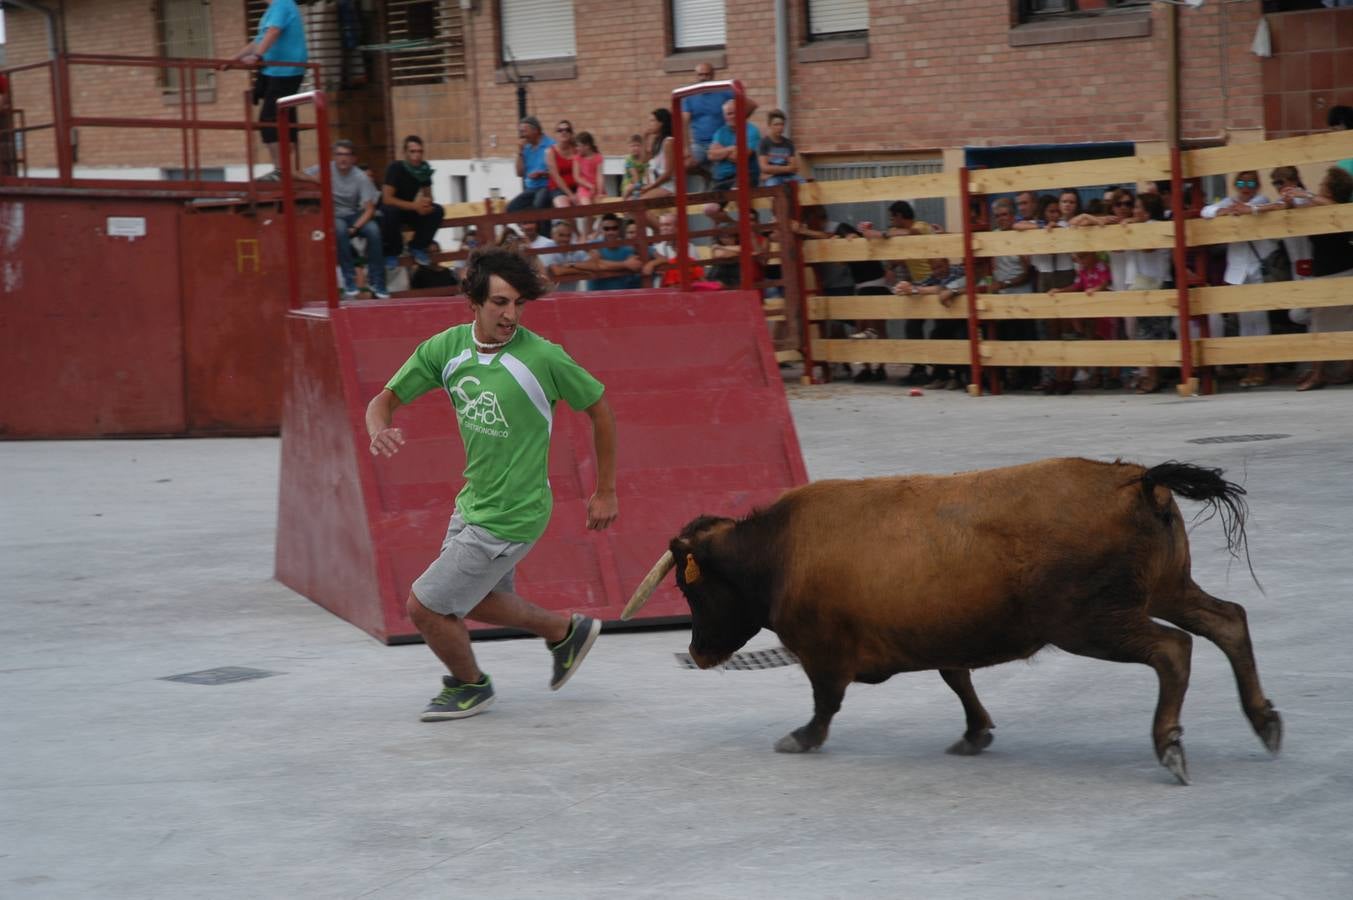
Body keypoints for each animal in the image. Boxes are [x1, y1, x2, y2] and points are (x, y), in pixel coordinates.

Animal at [619, 460, 1277, 784]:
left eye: (689, 586)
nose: (699, 653)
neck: (777, 551)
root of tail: (1136, 481)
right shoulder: (940, 637)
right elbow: (957, 678)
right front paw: (975, 732)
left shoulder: (825, 653)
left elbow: (825, 701)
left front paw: (801, 737)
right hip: (1165, 590)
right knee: (1228, 621)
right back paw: (1264, 720)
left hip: (1094, 622)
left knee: (1173, 650)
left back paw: (1170, 745)